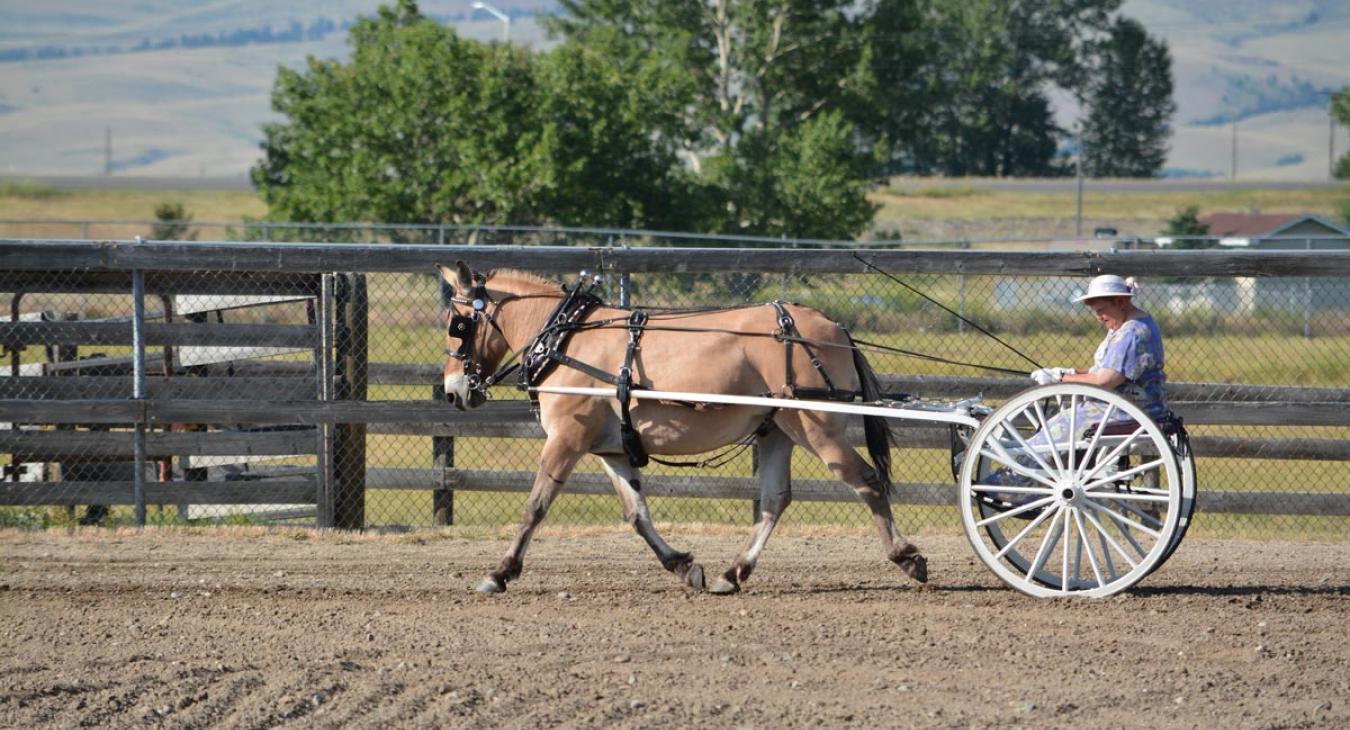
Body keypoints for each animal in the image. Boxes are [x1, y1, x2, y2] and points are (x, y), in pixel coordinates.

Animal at [437, 261, 927, 594]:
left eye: (457, 325)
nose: (453, 391)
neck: (565, 338)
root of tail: (835, 326)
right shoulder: (611, 449)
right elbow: (637, 514)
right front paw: (683, 565)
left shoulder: (566, 441)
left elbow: (535, 506)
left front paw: (499, 573)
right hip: (778, 430)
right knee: (774, 500)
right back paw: (734, 572)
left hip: (816, 427)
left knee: (865, 481)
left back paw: (906, 557)